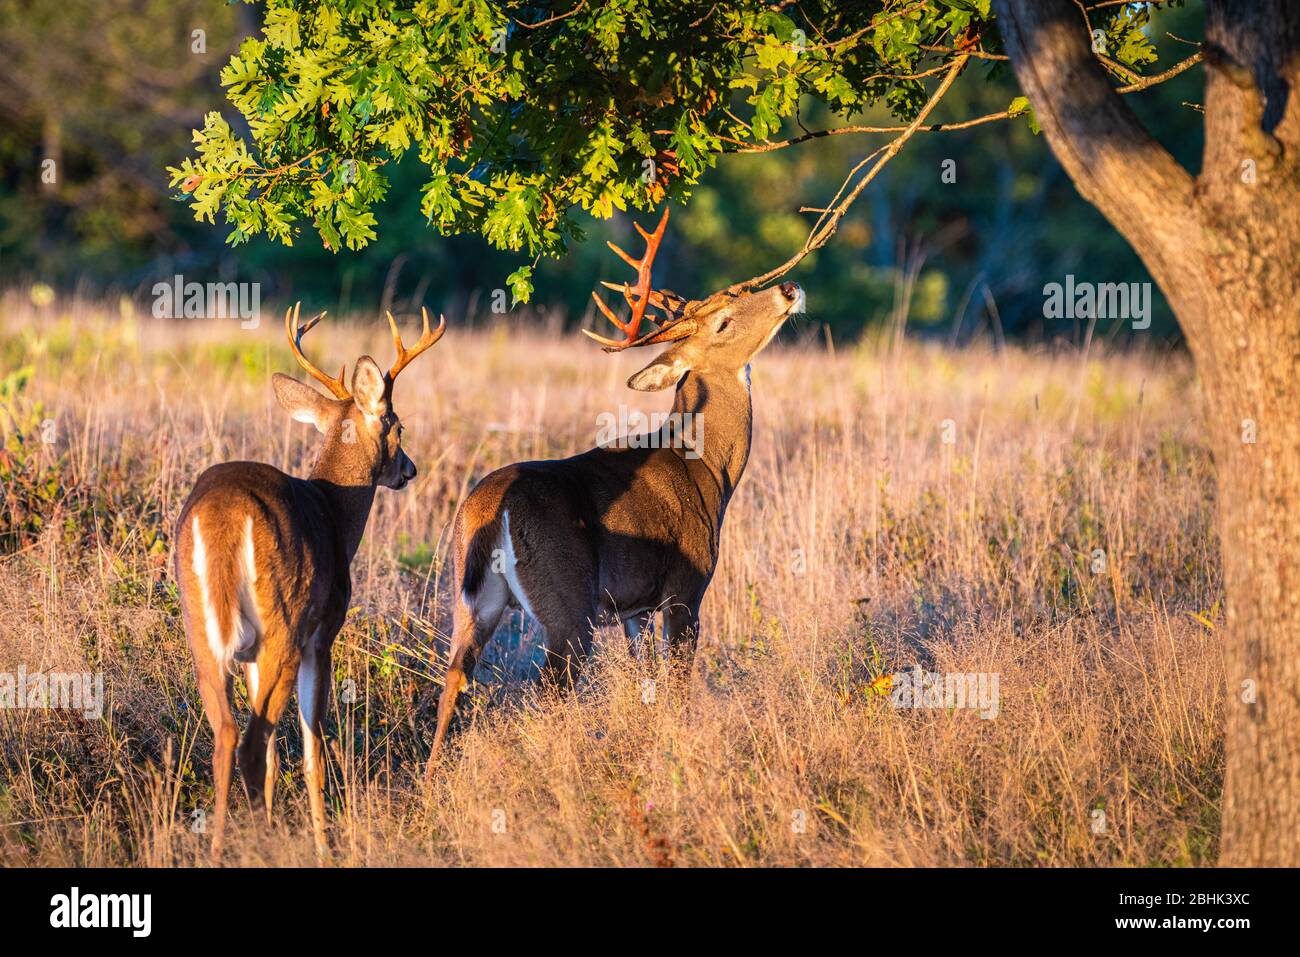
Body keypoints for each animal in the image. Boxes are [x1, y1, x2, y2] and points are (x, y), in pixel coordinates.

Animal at [172, 302, 441, 858]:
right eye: (397, 425)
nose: (409, 470)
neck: (336, 511)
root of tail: (222, 516)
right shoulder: (323, 633)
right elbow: (312, 745)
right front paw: (323, 845)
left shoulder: (250, 654)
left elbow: (280, 751)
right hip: (286, 622)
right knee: (251, 741)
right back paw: (259, 845)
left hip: (203, 631)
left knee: (227, 734)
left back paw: (223, 847)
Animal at [428, 209, 800, 769]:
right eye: (723, 321)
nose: (789, 288)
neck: (707, 470)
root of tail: (486, 511)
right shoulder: (684, 590)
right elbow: (675, 685)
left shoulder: (634, 609)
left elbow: (645, 683)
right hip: (567, 604)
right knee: (549, 690)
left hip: (472, 600)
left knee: (453, 680)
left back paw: (433, 781)